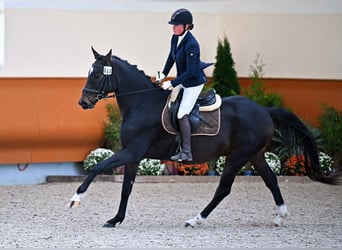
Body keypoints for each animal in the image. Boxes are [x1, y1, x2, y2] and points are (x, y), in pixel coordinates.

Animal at [70, 47, 342, 228]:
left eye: (97, 75)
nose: (83, 102)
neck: (141, 103)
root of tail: (264, 110)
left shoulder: (132, 152)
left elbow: (98, 167)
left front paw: (75, 199)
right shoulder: (134, 157)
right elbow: (126, 188)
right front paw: (116, 219)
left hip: (237, 157)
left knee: (223, 189)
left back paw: (195, 219)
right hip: (254, 155)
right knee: (271, 180)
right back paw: (280, 216)